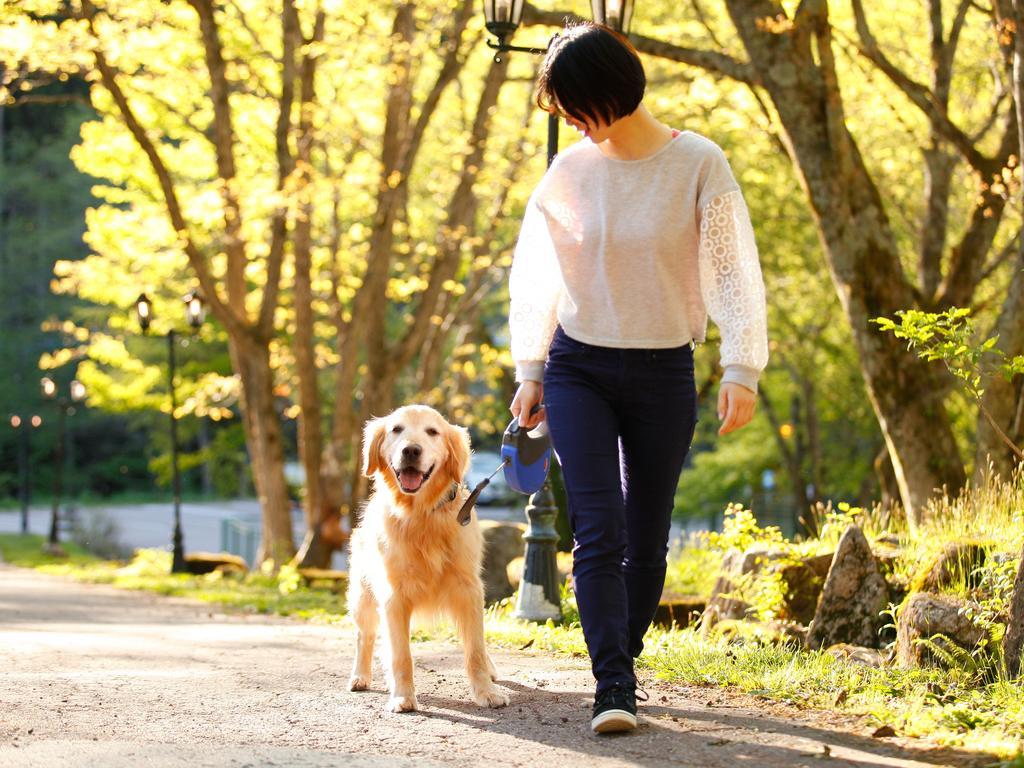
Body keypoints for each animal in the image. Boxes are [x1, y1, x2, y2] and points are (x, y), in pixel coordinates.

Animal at [346, 405, 509, 712]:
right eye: (396, 429)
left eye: (432, 432)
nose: (411, 450)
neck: (421, 514)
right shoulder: (393, 596)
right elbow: (400, 655)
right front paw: (403, 697)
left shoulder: (468, 589)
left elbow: (475, 649)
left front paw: (486, 692)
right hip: (363, 595)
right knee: (365, 636)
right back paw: (359, 676)